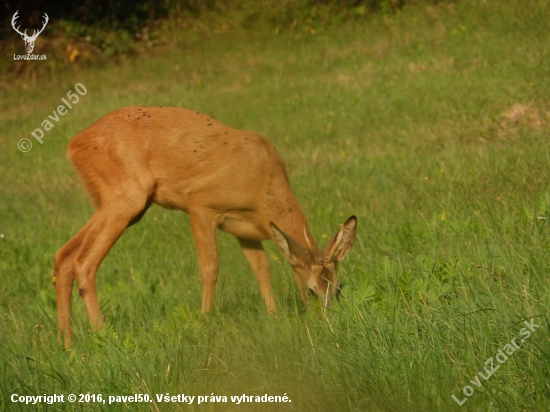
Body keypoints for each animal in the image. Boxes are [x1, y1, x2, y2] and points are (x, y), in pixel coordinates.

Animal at [56, 107, 358, 348]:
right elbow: (210, 269)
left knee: (64, 255)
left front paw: (273, 317)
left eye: (339, 288)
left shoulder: (246, 231)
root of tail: (73, 145)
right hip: (126, 198)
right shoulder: (201, 204)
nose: (328, 322)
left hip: (118, 203)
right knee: (84, 261)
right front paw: (206, 322)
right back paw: (105, 336)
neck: (264, 184)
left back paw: (68, 347)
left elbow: (262, 269)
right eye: (311, 290)